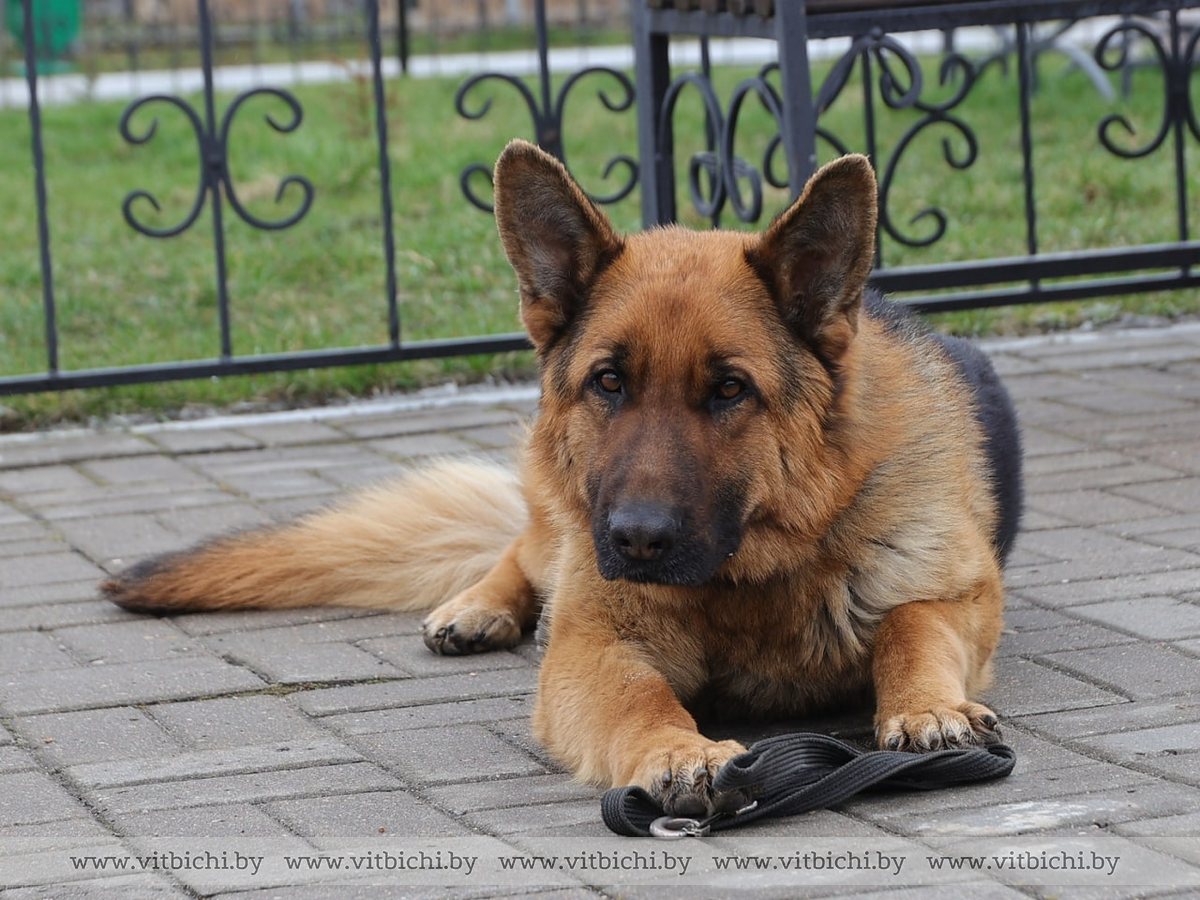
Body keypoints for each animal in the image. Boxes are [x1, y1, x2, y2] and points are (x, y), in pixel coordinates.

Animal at [105, 139, 1022, 816]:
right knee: (524, 547)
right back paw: (476, 606)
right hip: (562, 519)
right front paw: (677, 750)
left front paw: (927, 705)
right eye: (608, 381)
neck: (751, 581)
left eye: (730, 390)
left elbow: (911, 627)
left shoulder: (960, 593)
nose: (637, 541)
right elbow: (641, 699)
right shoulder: (592, 647)